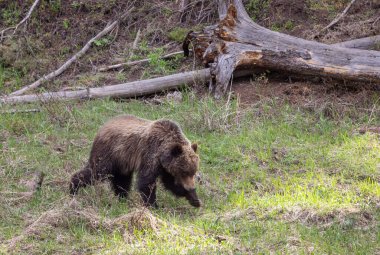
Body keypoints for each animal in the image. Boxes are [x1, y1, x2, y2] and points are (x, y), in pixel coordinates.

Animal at [70, 114, 202, 208]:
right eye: (184, 171)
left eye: (193, 172)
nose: (190, 187)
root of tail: (103, 127)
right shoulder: (150, 155)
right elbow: (146, 182)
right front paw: (153, 205)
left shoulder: (165, 167)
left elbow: (170, 183)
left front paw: (195, 199)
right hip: (108, 154)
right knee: (96, 172)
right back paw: (73, 188)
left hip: (121, 161)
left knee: (122, 181)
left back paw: (123, 198)